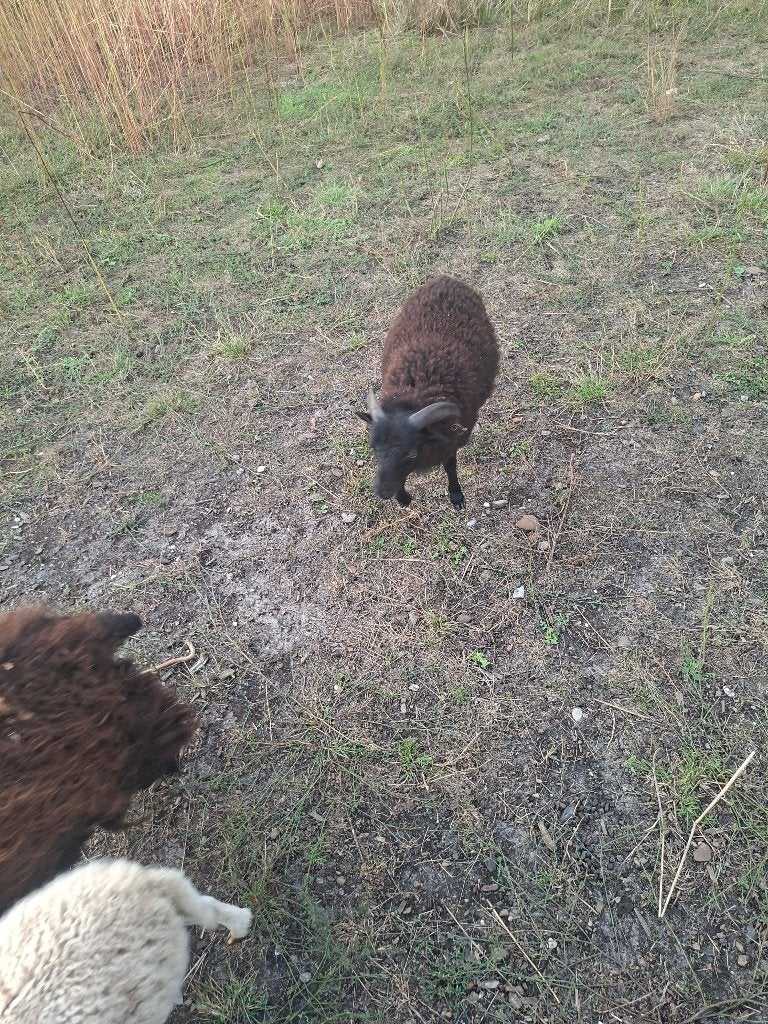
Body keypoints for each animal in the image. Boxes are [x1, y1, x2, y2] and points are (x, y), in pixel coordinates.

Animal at [356, 275, 500, 510]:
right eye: (373, 448)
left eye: (412, 452)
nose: (383, 493)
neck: (415, 392)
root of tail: (446, 279)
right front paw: (404, 498)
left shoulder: (452, 440)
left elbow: (450, 466)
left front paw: (456, 496)